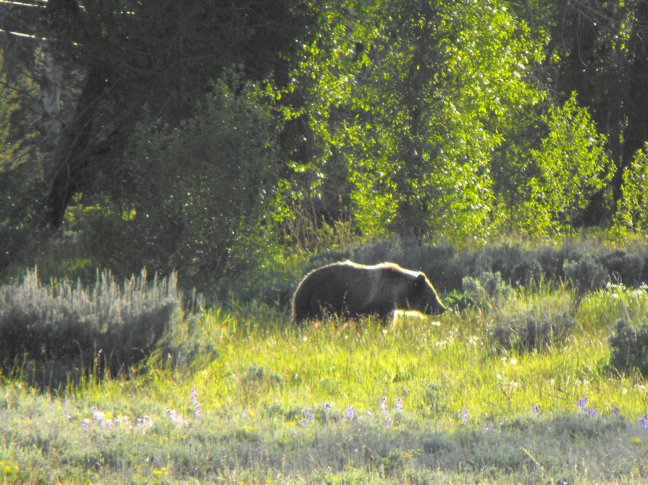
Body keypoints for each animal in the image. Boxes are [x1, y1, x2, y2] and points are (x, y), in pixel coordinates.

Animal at [292, 260, 448, 324]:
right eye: (433, 295)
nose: (442, 308)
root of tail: (304, 281)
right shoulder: (373, 305)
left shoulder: (387, 307)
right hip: (324, 297)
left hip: (307, 304)